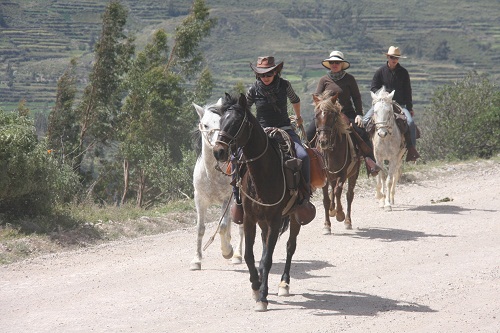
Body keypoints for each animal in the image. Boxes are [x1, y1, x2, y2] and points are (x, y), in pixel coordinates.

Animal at [191, 99, 244, 270]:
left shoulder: (227, 198)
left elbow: (222, 226)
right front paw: (196, 260)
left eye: (222, 123)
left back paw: (237, 255)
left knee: (241, 227)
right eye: (205, 125)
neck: (212, 174)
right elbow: (200, 229)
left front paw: (227, 251)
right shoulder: (199, 200)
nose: (218, 148)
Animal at [213, 92, 306, 310]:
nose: (218, 151)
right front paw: (256, 286)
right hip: (263, 222)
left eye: (236, 122)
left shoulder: (275, 220)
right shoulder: (250, 218)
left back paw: (283, 284)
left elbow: (268, 258)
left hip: (293, 218)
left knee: (290, 246)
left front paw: (263, 295)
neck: (264, 174)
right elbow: (250, 255)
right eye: (221, 121)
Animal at [310, 91, 362, 233]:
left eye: (332, 116)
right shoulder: (324, 176)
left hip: (353, 174)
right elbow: (326, 199)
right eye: (316, 116)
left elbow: (338, 191)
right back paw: (332, 209)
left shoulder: (343, 173)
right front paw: (327, 225)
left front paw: (340, 214)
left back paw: (347, 220)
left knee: (349, 195)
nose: (323, 141)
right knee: (333, 191)